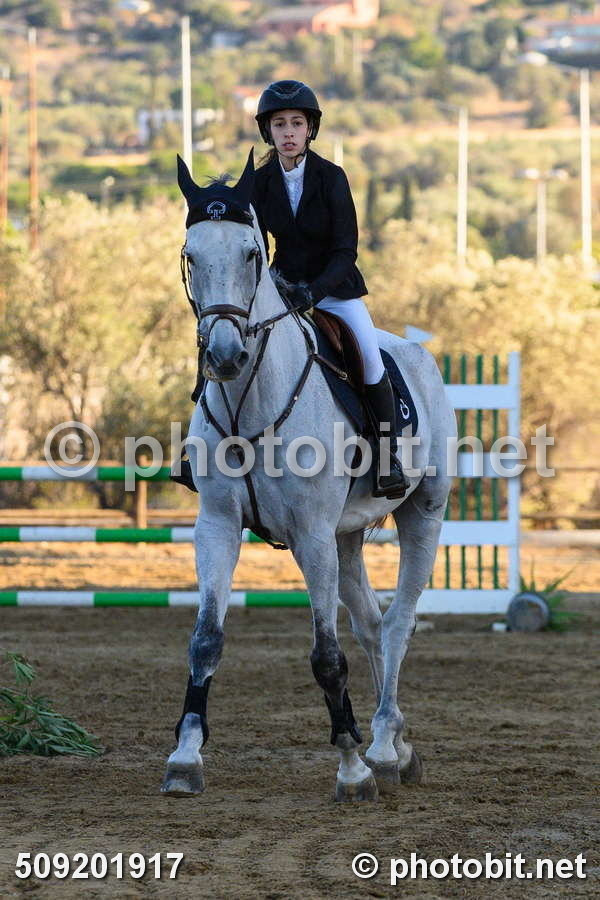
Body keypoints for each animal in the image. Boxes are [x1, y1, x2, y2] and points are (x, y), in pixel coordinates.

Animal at [161, 149, 456, 801]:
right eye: (191, 255)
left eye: (252, 253)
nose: (225, 357)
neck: (249, 401)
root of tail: (420, 354)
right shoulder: (217, 527)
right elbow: (205, 639)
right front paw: (185, 757)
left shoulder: (312, 536)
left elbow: (325, 655)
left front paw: (350, 769)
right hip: (346, 537)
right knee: (371, 624)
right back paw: (394, 741)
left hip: (421, 513)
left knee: (398, 623)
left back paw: (382, 748)